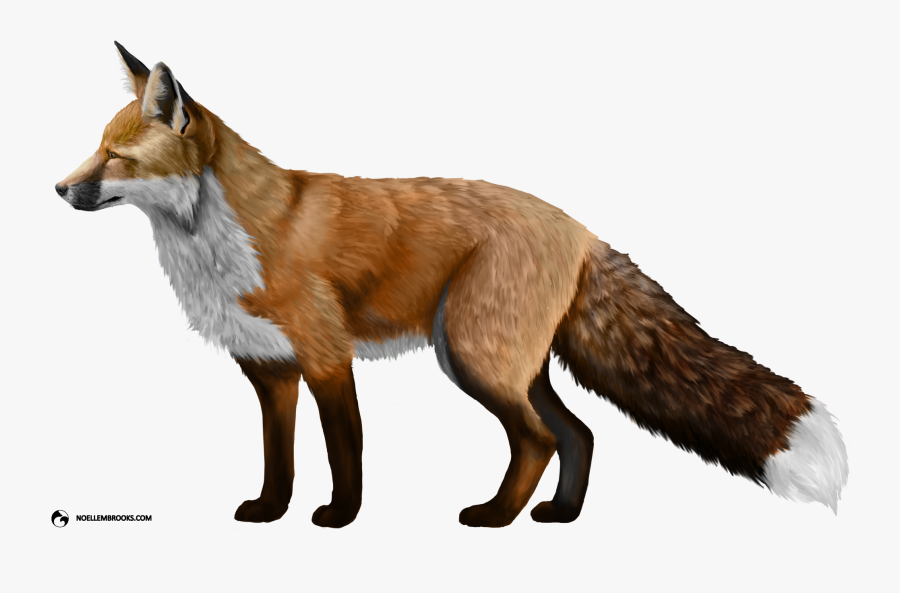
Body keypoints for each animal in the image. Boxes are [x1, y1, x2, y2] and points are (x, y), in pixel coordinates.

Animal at [55, 42, 848, 528]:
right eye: (96, 148)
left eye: (117, 158)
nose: (60, 189)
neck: (222, 239)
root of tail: (579, 226)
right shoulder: (270, 369)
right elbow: (279, 458)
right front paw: (271, 512)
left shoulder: (326, 357)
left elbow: (345, 452)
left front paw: (340, 519)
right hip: (507, 363)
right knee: (580, 433)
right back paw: (559, 516)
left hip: (473, 357)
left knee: (539, 439)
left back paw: (495, 517)